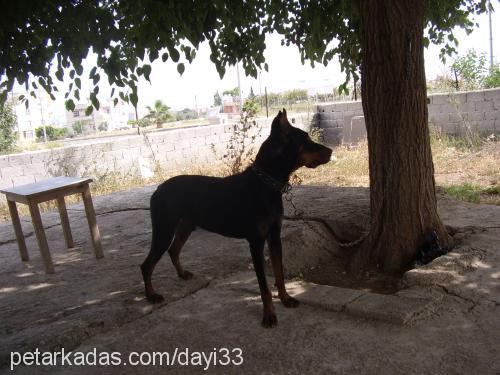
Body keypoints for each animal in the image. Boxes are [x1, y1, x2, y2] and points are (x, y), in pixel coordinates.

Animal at [142, 109, 332, 328]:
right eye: (305, 140)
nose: (331, 151)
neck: (266, 185)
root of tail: (157, 189)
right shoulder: (256, 243)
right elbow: (264, 286)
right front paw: (269, 315)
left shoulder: (275, 237)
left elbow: (279, 274)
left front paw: (285, 298)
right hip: (164, 230)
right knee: (147, 264)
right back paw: (151, 295)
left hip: (185, 226)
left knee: (173, 250)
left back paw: (182, 274)